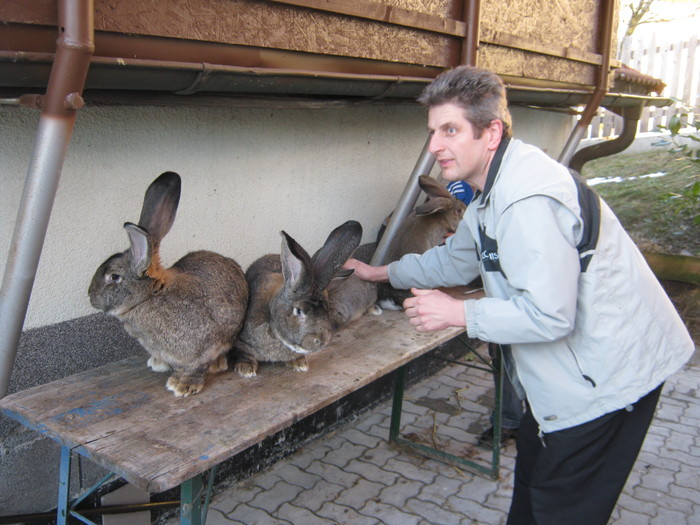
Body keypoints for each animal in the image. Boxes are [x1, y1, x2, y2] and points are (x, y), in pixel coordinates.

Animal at [89, 172, 249, 398]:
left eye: (114, 277)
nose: (90, 297)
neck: (151, 296)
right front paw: (165, 369)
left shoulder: (204, 346)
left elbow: (197, 366)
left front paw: (183, 386)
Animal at [235, 219, 364, 374]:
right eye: (299, 311)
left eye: (327, 310)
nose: (322, 341)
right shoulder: (242, 342)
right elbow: (244, 353)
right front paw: (246, 369)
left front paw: (300, 363)